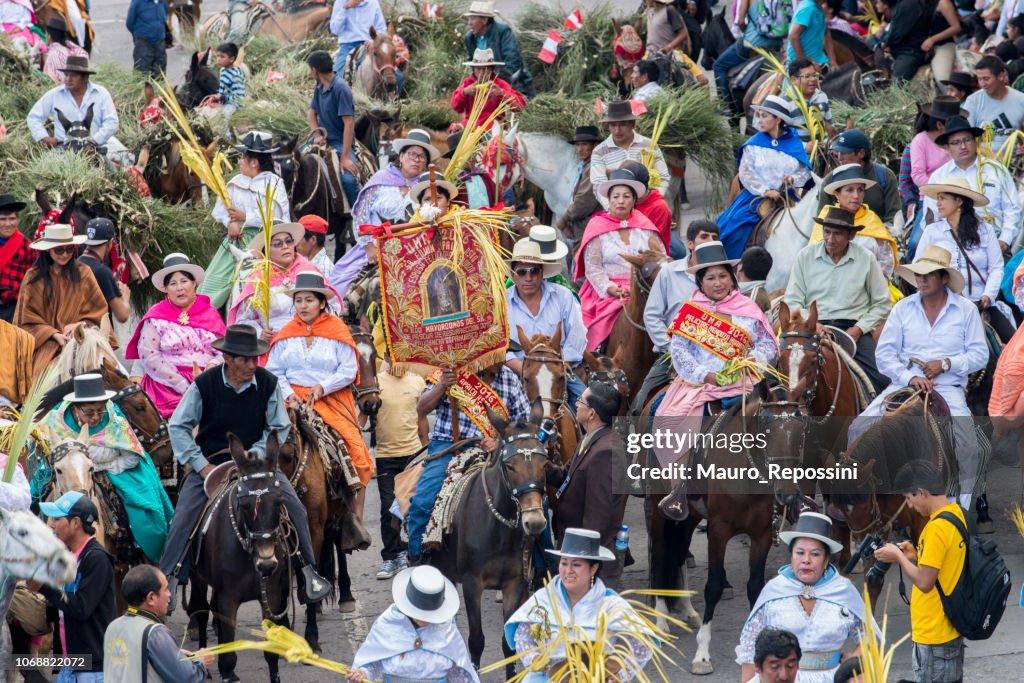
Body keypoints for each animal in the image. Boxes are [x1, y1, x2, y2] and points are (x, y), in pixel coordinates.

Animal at [187, 432, 290, 683]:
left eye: (279, 500)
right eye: (243, 505)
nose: (266, 565)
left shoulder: (271, 596)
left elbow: (271, 654)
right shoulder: (229, 599)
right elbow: (228, 657)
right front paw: (225, 671)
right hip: (198, 578)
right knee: (201, 611)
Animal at [425, 397, 548, 675]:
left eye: (544, 463)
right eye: (509, 466)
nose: (534, 522)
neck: (499, 531)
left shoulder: (515, 583)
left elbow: (507, 643)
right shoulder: (472, 583)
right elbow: (477, 640)